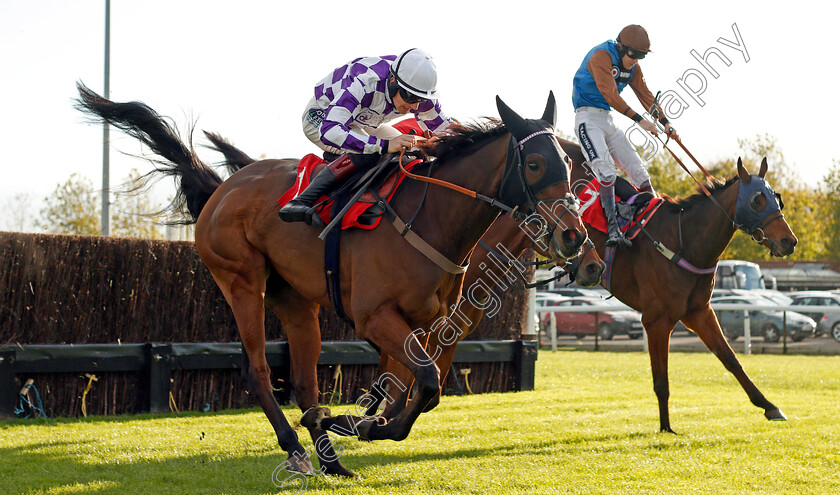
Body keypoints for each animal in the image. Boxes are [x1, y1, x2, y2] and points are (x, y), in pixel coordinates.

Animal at [202, 131, 612, 418]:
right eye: (538, 167)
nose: (591, 260)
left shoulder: (436, 322)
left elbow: (414, 380)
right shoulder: (389, 316)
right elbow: (408, 376)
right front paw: (374, 413)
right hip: (246, 280)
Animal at [556, 138, 796, 432]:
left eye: (777, 198)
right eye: (757, 200)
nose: (789, 241)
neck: (685, 241)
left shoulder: (699, 312)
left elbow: (730, 358)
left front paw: (769, 405)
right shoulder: (656, 320)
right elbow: (661, 380)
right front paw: (666, 427)